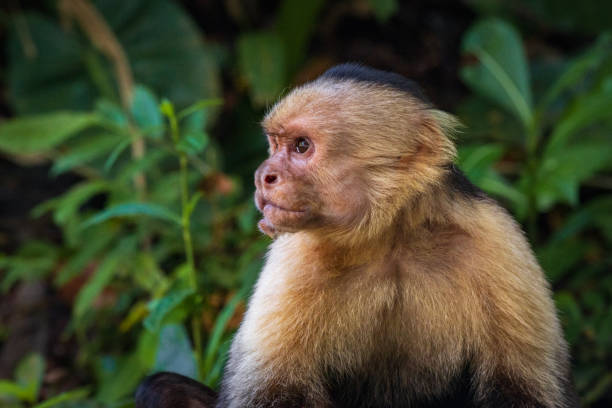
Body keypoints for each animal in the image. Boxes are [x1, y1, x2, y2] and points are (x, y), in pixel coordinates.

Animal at [135, 63, 580, 408]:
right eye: (273, 145)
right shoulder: (296, 256)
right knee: (158, 388)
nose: (263, 176)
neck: (390, 239)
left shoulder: (497, 239)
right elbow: (270, 391)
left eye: (301, 146)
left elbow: (524, 390)